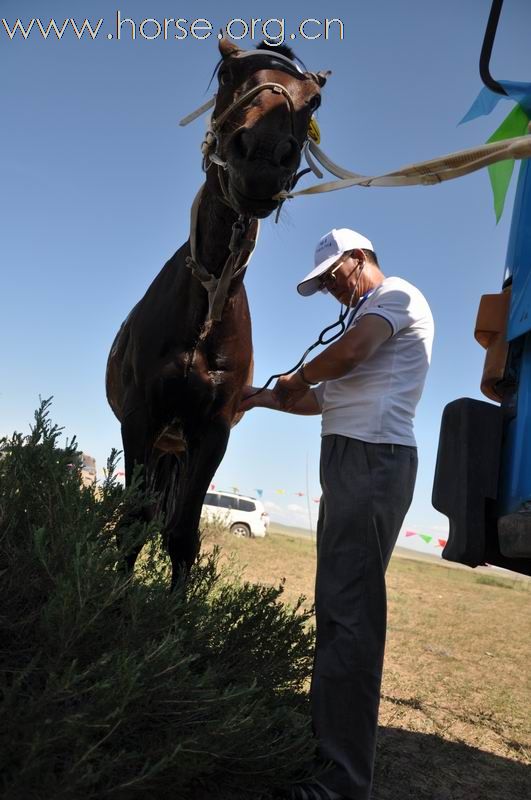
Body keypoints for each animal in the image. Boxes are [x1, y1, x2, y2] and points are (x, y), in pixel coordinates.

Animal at [106, 40, 328, 584]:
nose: (264, 155)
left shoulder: (212, 430)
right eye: (228, 73)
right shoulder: (140, 417)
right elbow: (134, 521)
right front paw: (113, 595)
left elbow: (182, 535)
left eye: (313, 101)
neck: (205, 311)